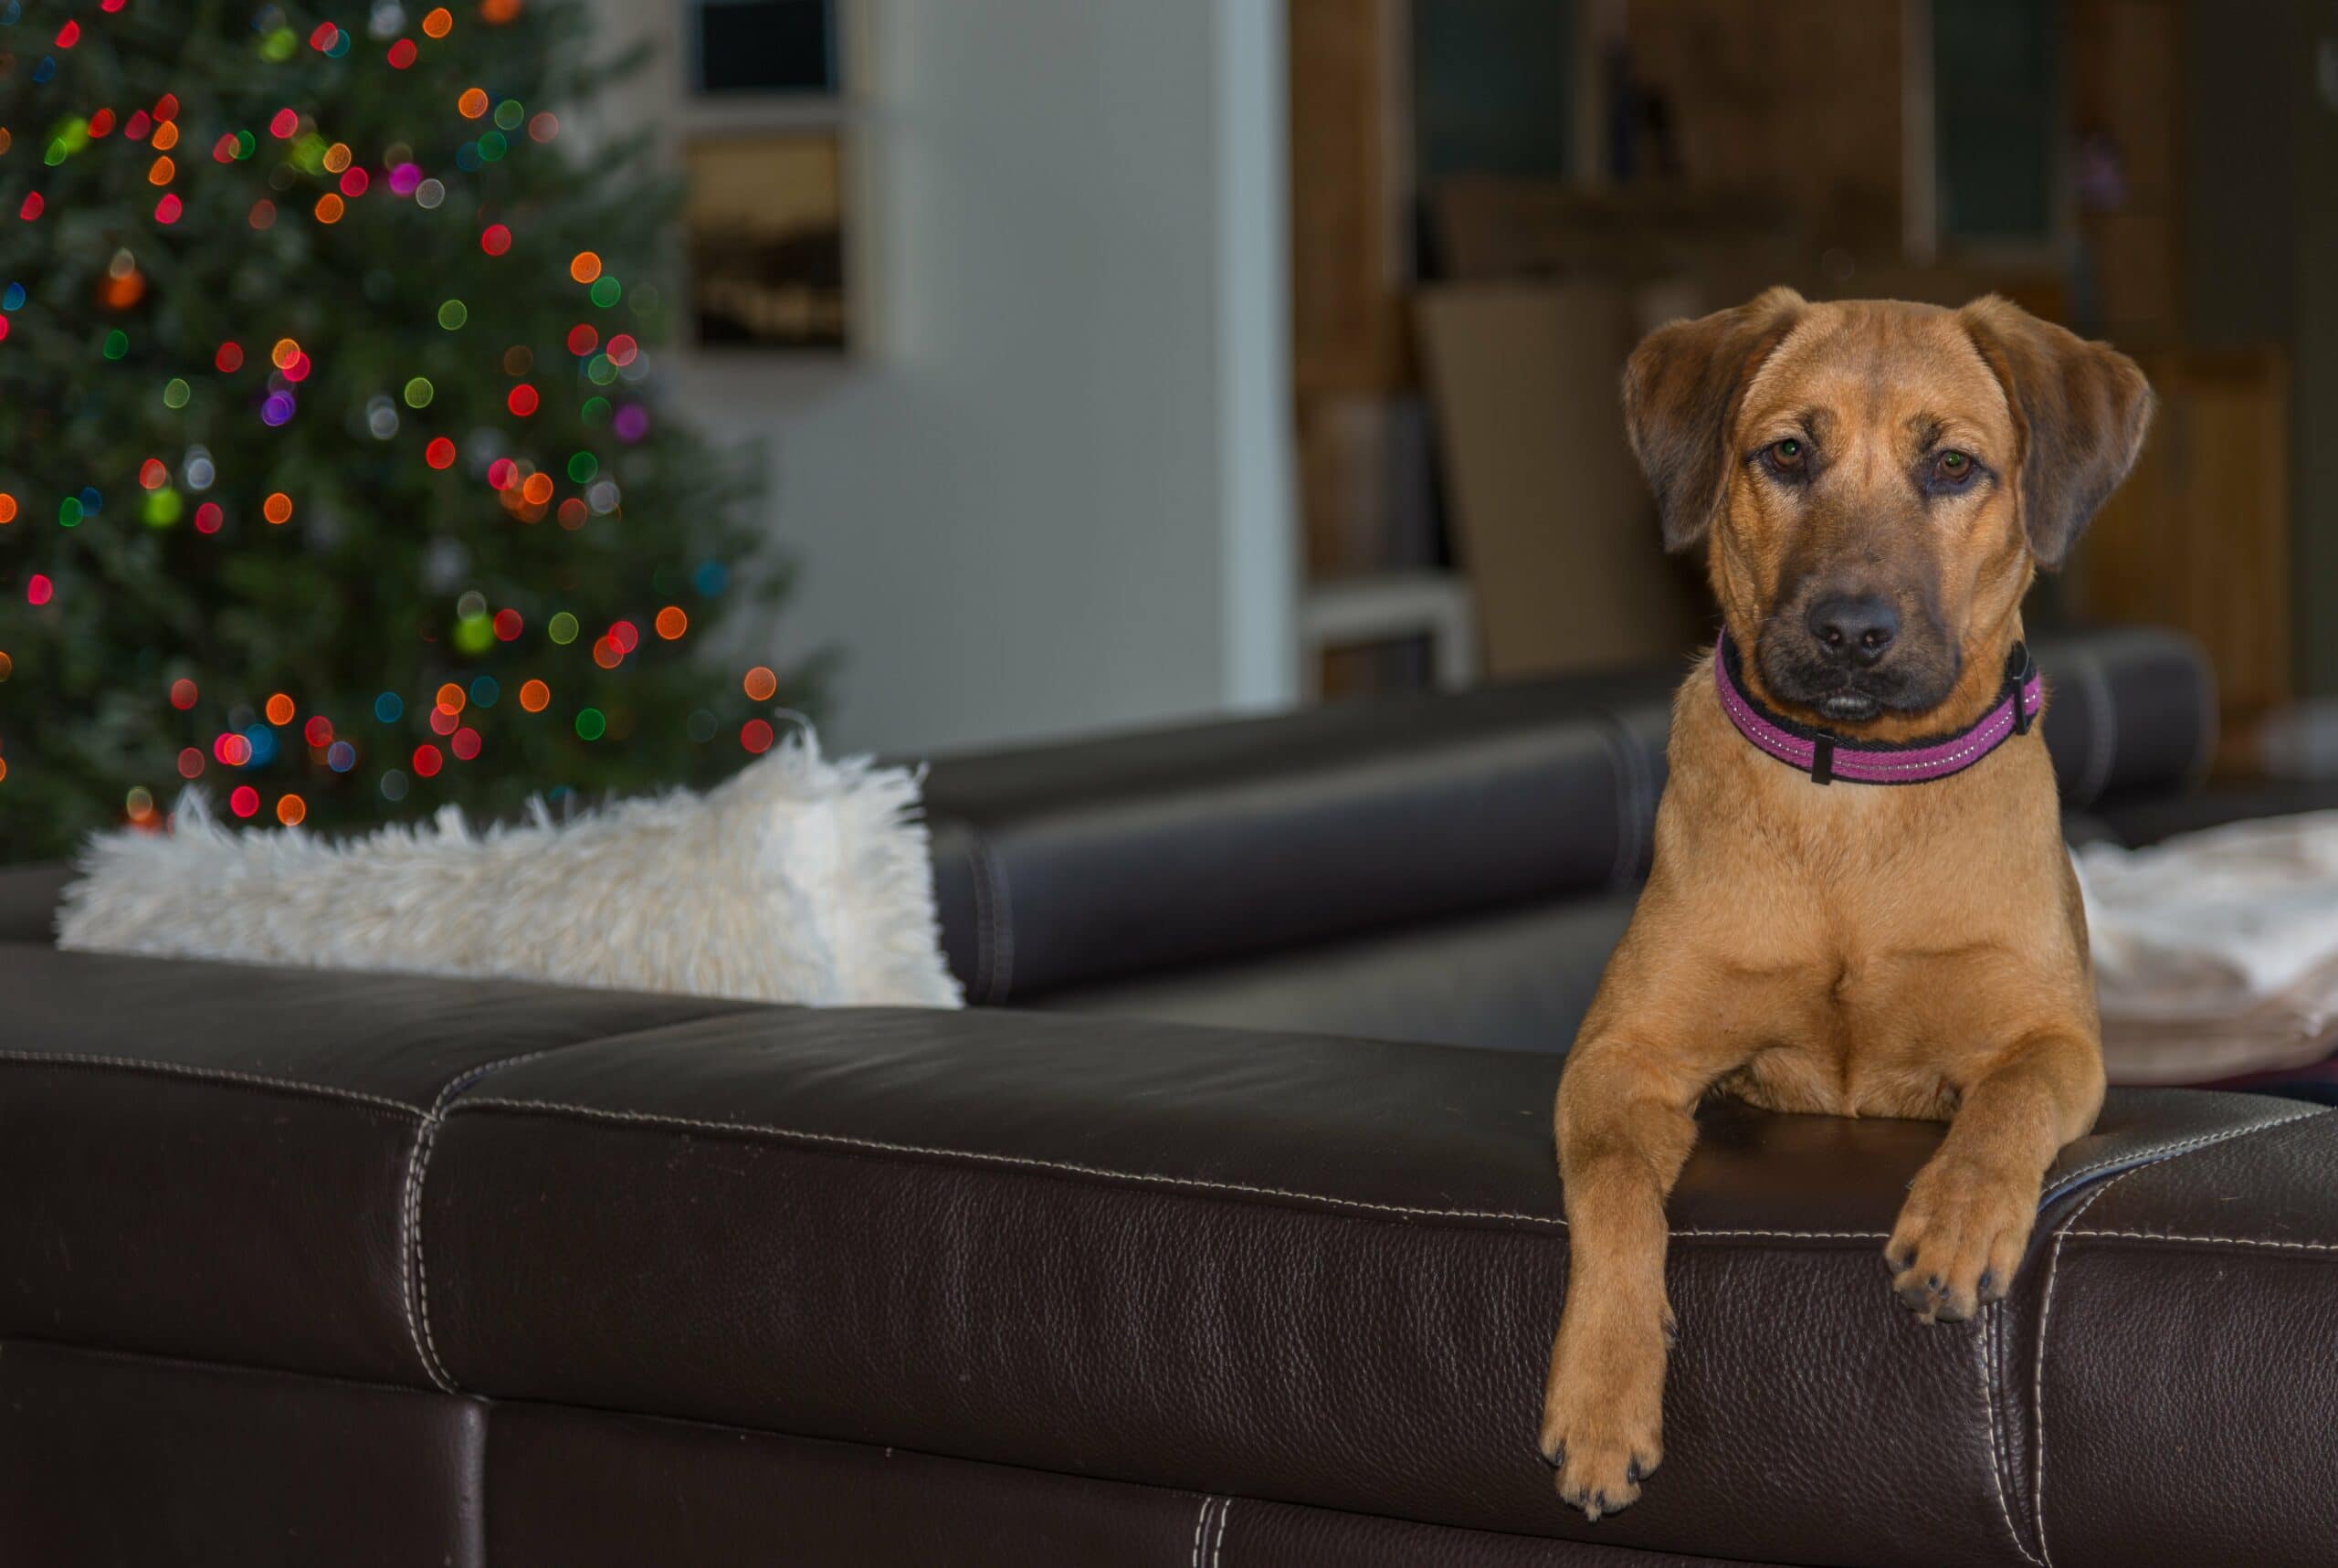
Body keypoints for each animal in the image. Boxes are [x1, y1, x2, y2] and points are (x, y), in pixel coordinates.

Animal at [1533, 290, 2151, 1523]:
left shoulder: (2054, 1039)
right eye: (1786, 454)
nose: (1850, 631)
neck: (1855, 812)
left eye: (1953, 465)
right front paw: (1603, 1390)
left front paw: (1956, 1220)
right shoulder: (1619, 1055)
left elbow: (2005, 1102)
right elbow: (1615, 1190)